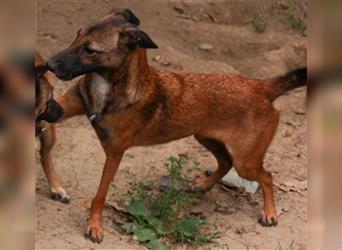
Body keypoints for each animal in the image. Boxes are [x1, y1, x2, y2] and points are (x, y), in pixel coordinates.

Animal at [44, 9, 304, 242]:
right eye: (77, 35)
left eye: (90, 50)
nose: (49, 64)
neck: (108, 87)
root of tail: (261, 86)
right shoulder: (61, 108)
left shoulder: (115, 153)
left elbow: (100, 194)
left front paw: (94, 226)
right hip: (205, 137)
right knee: (225, 162)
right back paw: (203, 185)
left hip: (246, 161)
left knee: (266, 176)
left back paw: (269, 213)